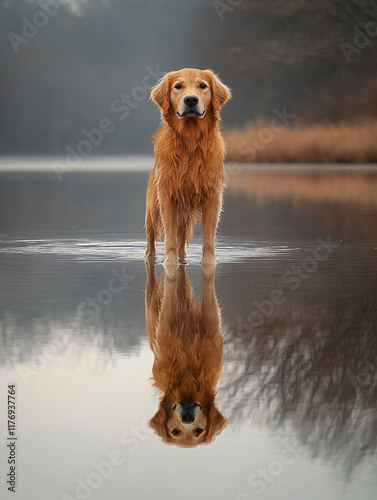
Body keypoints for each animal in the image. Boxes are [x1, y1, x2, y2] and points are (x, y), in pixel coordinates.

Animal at [145, 69, 231, 270]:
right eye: (178, 86)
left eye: (203, 86)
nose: (191, 100)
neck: (191, 142)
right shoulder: (167, 196)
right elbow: (169, 239)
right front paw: (169, 264)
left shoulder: (213, 197)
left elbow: (209, 239)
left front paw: (208, 263)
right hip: (152, 210)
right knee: (151, 242)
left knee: (182, 243)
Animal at [145, 264, 226, 448]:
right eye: (175, 432)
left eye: (198, 431)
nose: (188, 417)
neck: (188, 376)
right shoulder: (165, 320)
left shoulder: (211, 321)